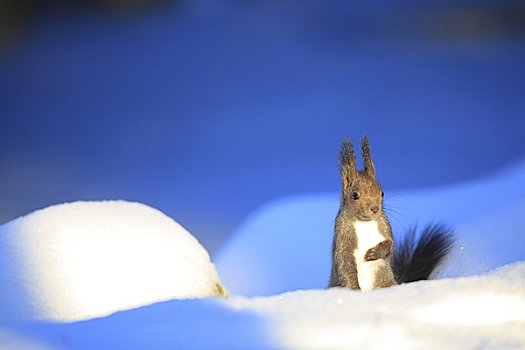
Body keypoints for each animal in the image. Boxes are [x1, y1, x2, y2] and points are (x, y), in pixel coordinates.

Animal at [330, 138, 452, 292]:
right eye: (355, 195)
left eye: (382, 193)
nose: (375, 209)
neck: (364, 222)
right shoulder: (342, 235)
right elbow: (344, 264)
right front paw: (354, 289)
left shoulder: (384, 225)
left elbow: (390, 246)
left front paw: (374, 253)